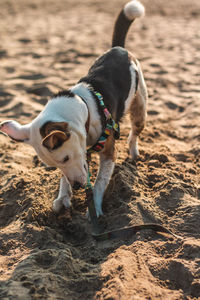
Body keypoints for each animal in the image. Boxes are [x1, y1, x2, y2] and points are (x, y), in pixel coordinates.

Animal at [0, 0, 147, 216]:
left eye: (66, 157)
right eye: (55, 164)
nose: (77, 187)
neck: (85, 108)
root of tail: (119, 48)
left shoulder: (108, 153)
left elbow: (99, 183)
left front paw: (94, 208)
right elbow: (66, 177)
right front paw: (63, 197)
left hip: (139, 109)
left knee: (133, 134)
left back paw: (135, 153)